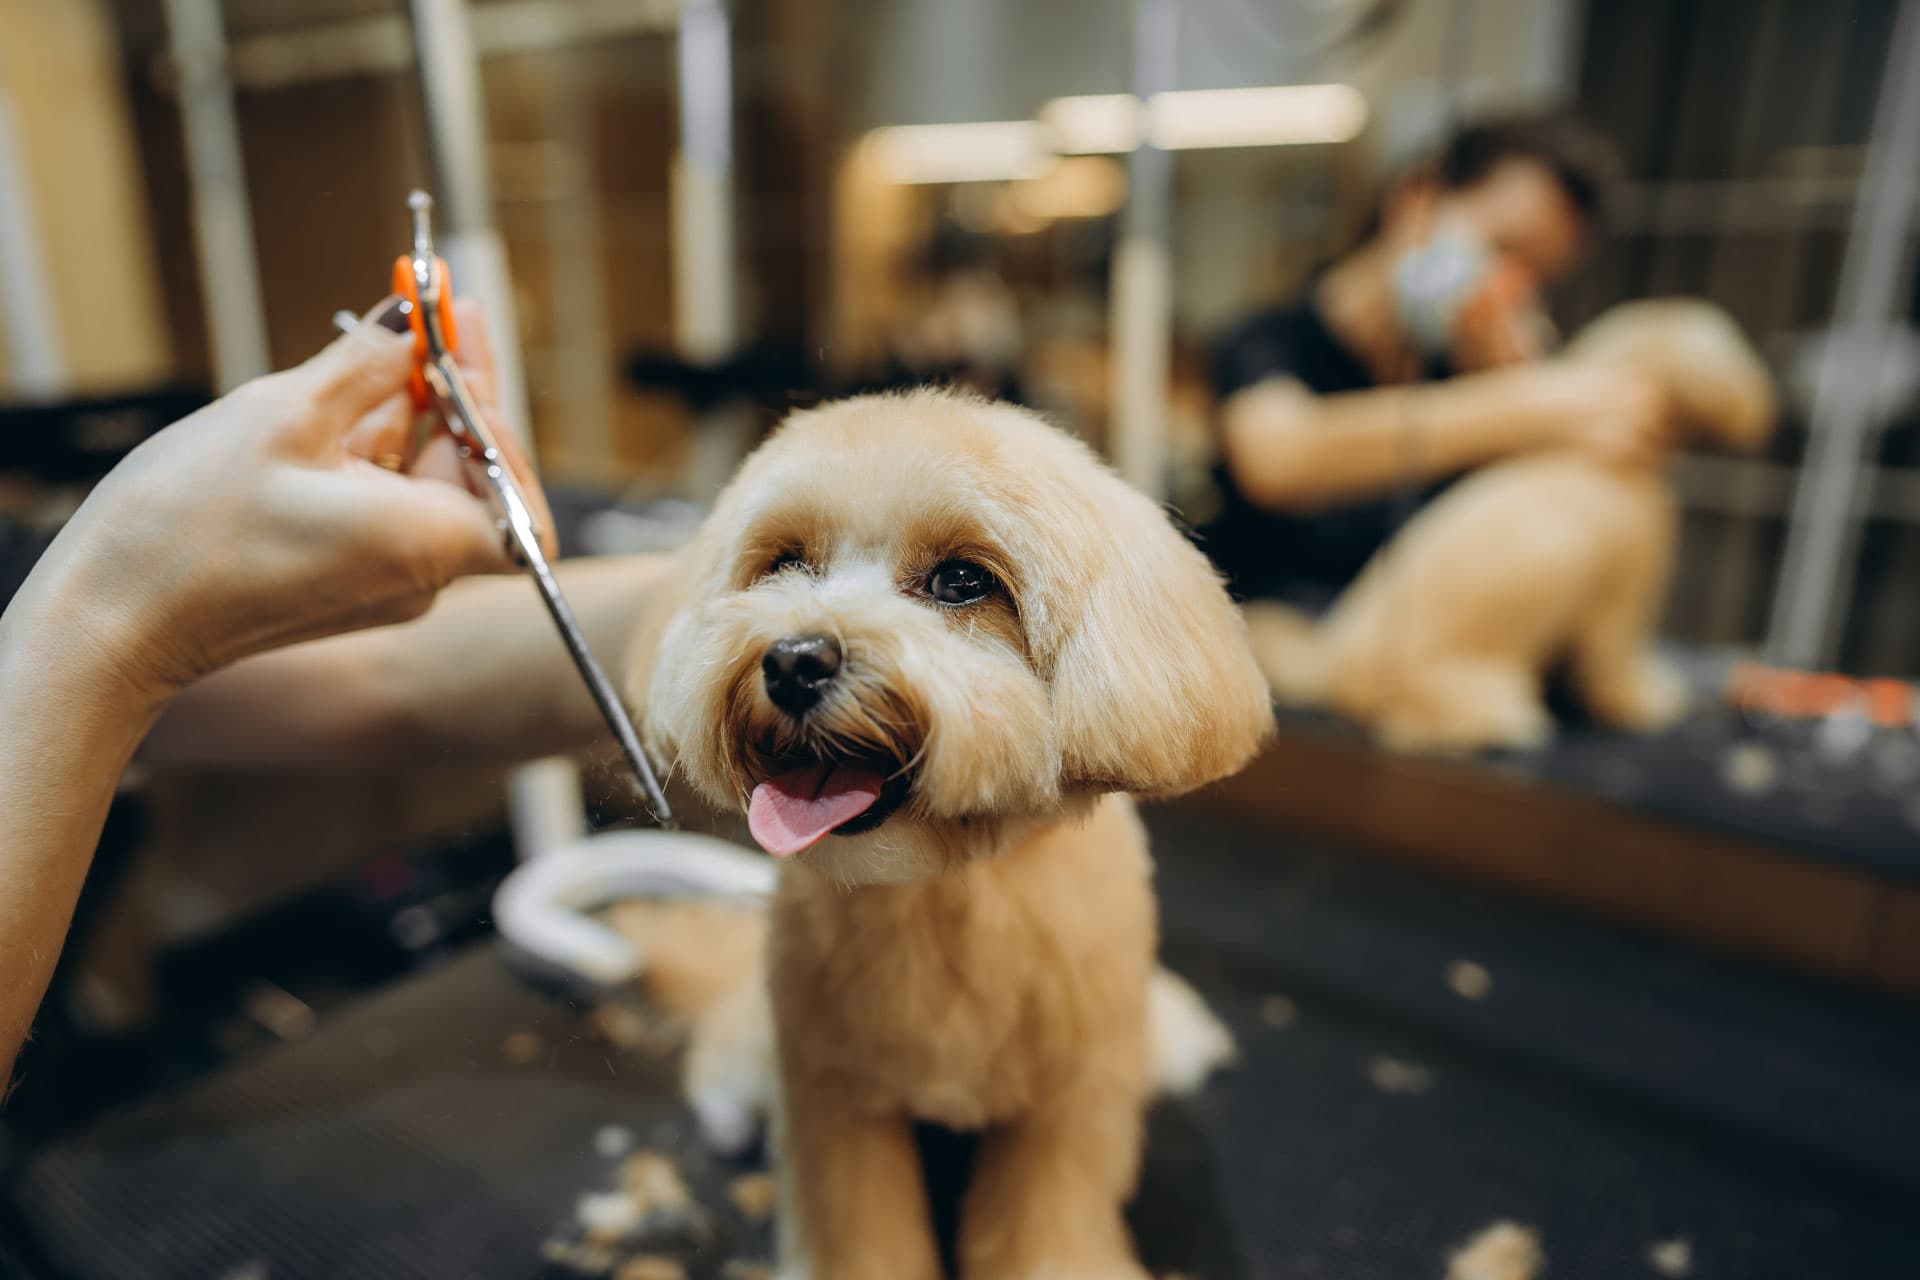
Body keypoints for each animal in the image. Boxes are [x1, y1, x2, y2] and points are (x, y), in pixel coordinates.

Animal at [622, 393, 1267, 1280]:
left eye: (962, 581)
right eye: (785, 563)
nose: (792, 661)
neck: (944, 888)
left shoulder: (1066, 1104)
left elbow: (1048, 1220)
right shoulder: (834, 1097)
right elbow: (857, 1224)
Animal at [1244, 301, 1766, 756]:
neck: (1596, 455)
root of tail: (1330, 664)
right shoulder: (1622, 601)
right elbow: (1614, 671)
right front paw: (1647, 702)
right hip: (1460, 681)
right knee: (1411, 723)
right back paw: (1504, 720)